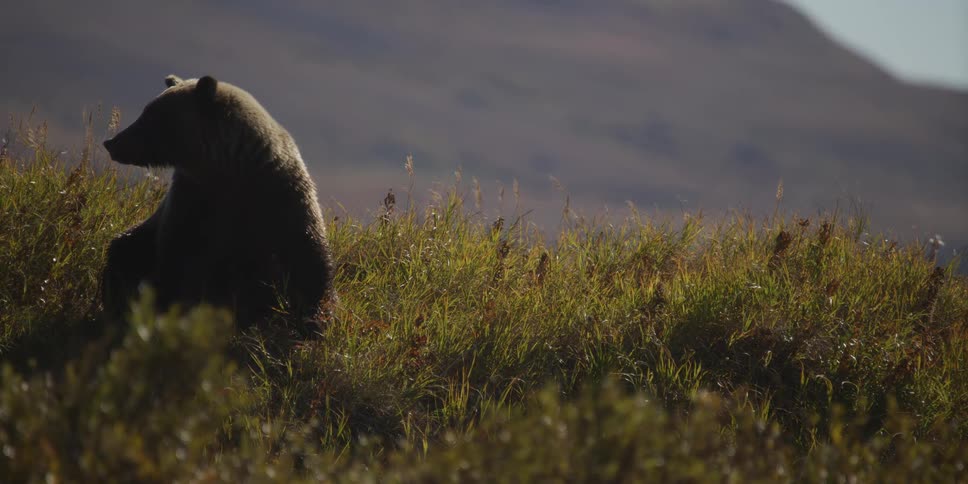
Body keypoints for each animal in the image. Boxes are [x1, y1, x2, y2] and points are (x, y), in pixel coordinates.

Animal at [101, 74, 333, 339]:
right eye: (146, 112)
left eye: (152, 116)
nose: (112, 142)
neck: (225, 169)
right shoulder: (192, 200)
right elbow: (176, 260)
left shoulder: (276, 197)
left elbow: (307, 259)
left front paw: (313, 320)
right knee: (123, 253)